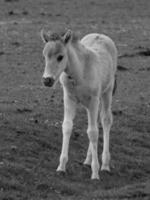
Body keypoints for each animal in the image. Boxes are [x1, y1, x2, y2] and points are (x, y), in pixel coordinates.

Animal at [40, 28, 117, 180]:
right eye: (45, 55)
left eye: (60, 57)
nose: (47, 80)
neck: (79, 72)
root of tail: (101, 35)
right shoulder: (69, 98)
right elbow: (67, 126)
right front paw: (61, 167)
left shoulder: (94, 100)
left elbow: (93, 132)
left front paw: (95, 173)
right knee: (96, 123)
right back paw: (87, 160)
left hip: (106, 93)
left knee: (105, 120)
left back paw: (105, 165)